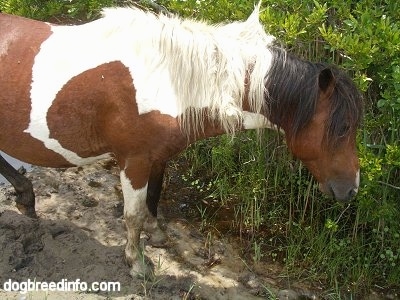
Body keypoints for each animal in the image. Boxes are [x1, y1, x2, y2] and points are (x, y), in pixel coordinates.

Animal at [0, 4, 362, 276]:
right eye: (343, 128)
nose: (351, 189)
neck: (166, 79)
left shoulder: (158, 156)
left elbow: (154, 197)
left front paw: (156, 234)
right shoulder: (134, 161)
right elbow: (132, 214)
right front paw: (136, 262)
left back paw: (25, 196)